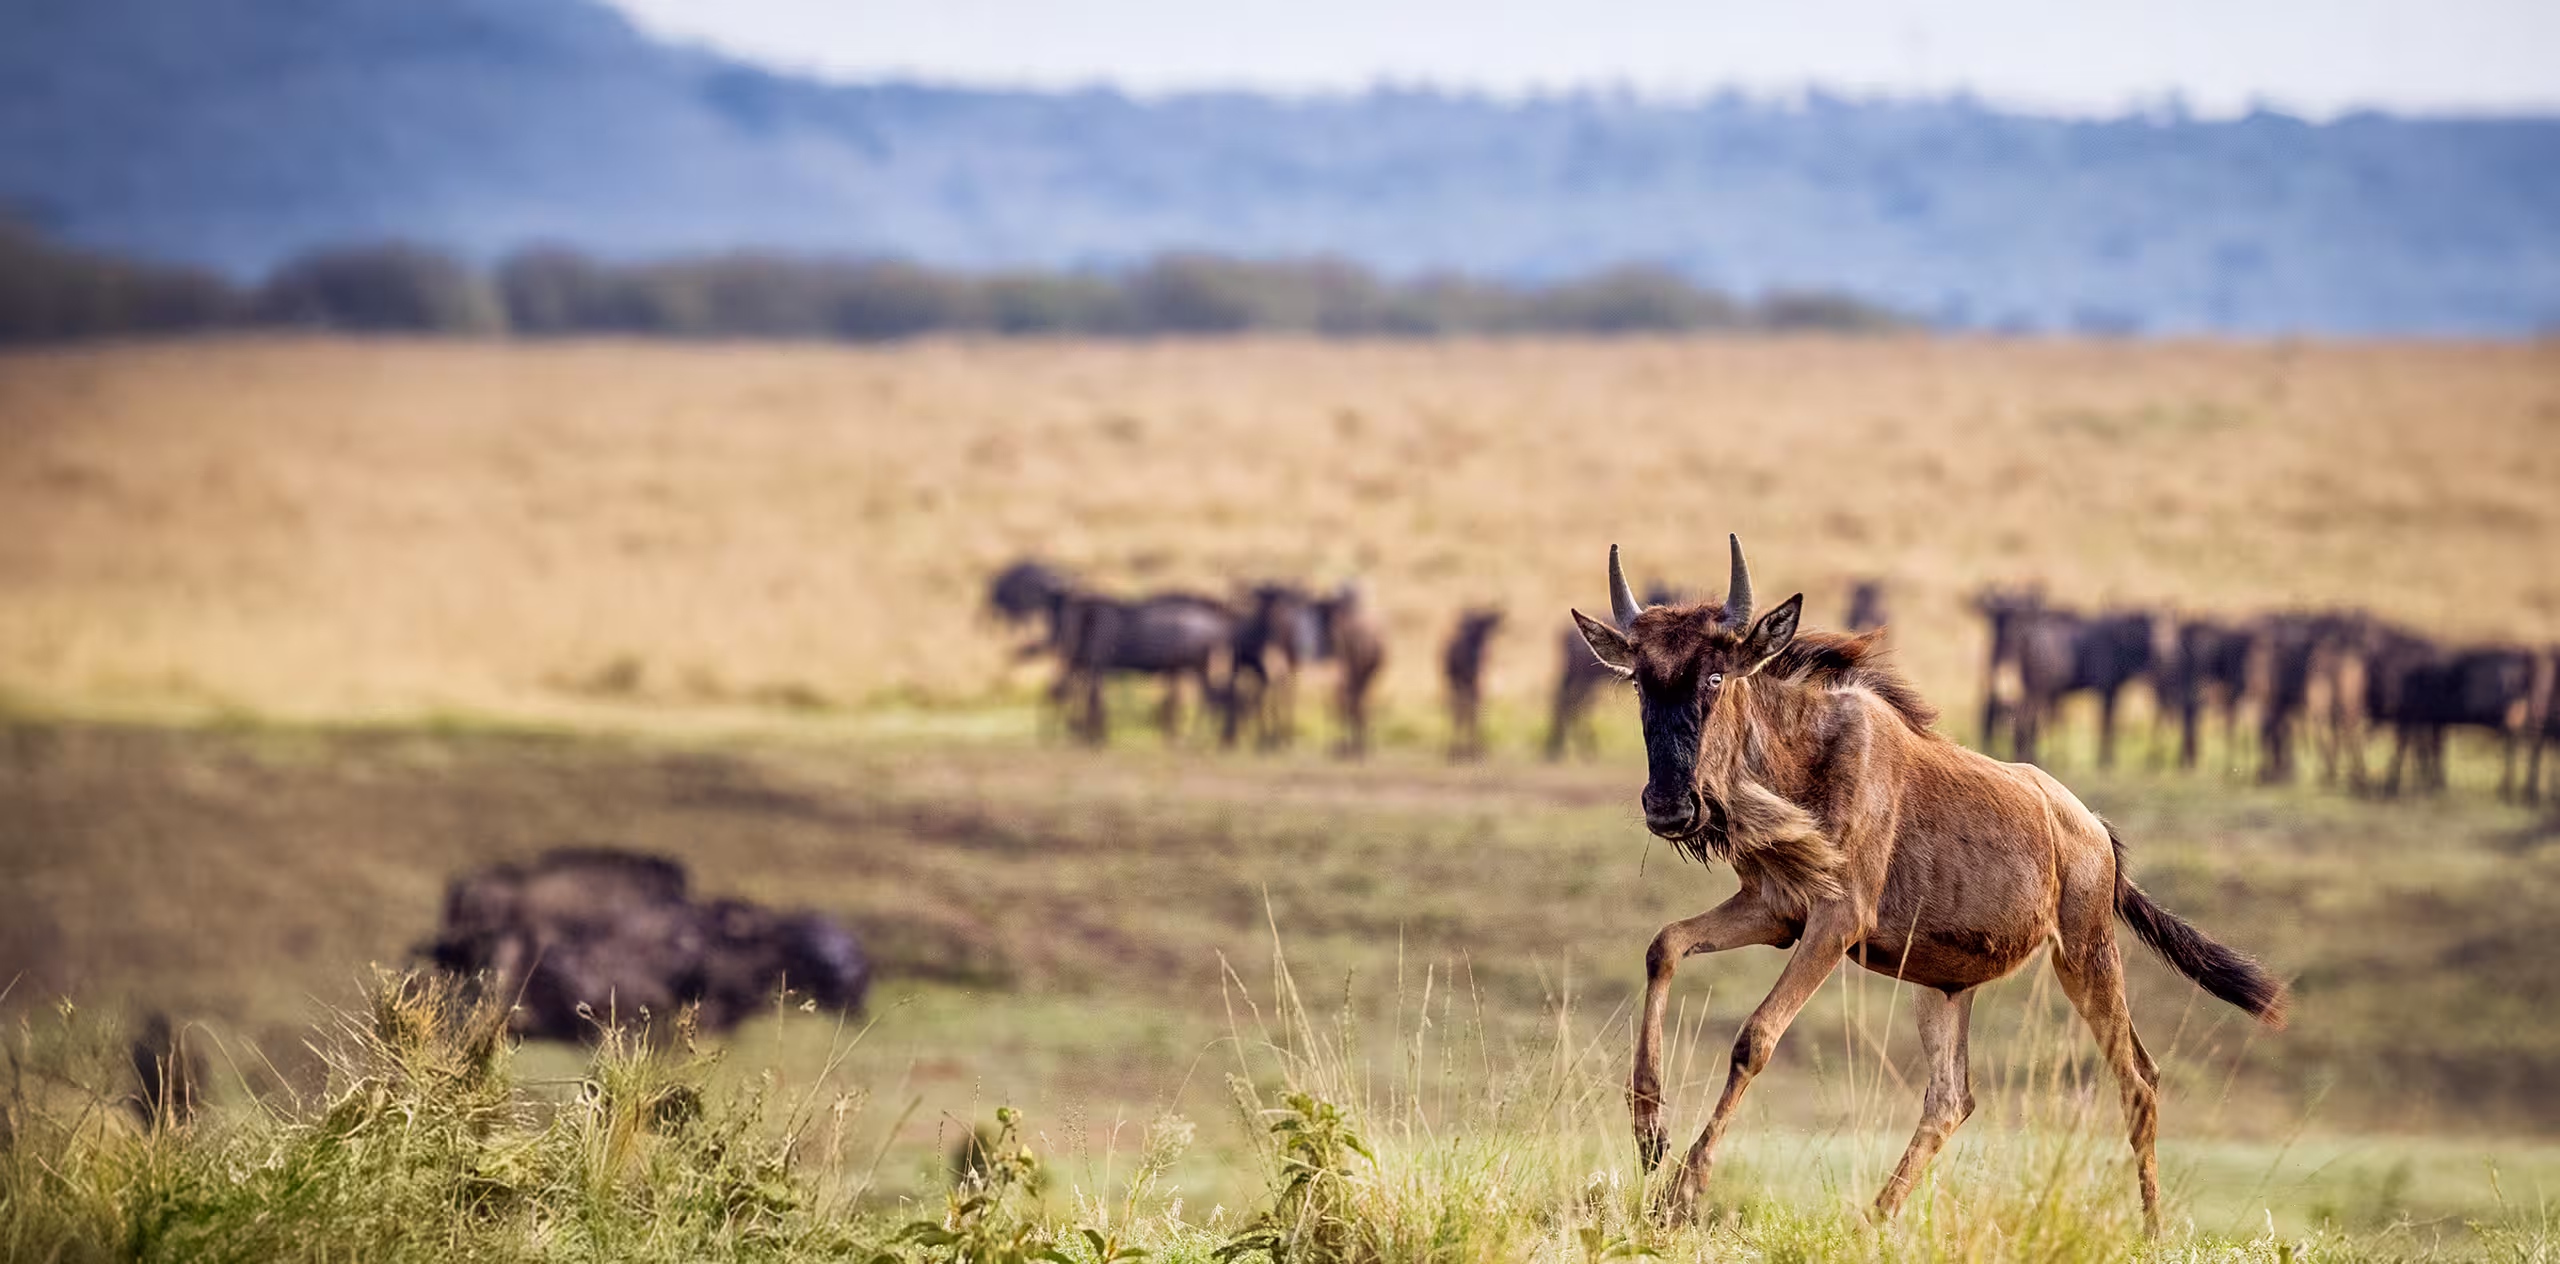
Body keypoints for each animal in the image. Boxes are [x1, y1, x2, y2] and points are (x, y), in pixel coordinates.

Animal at [1572, 537, 2287, 1230]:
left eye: (1716, 676)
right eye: (1640, 682)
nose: (1669, 805)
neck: (1798, 761)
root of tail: (2093, 830)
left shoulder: (1836, 919)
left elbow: (1756, 1038)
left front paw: (1681, 1194)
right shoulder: (1774, 910)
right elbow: (1663, 945)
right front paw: (1649, 1136)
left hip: (2086, 954)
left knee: (2138, 1077)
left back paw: (2151, 1229)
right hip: (1941, 983)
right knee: (1950, 1098)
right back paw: (1873, 1219)